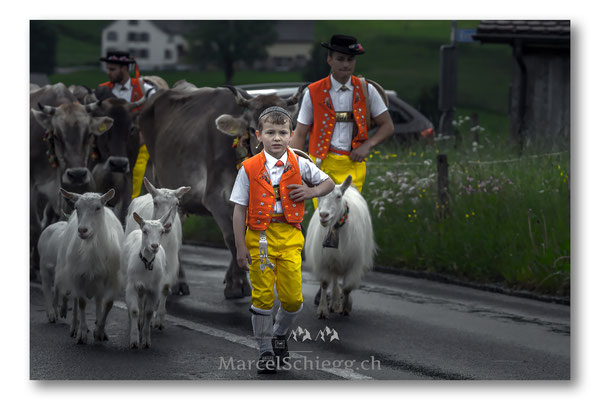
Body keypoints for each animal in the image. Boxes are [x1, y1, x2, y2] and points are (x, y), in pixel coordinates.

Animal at [54, 190, 123, 344]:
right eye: (76, 207)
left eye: (98, 208)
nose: (82, 230)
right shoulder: (78, 275)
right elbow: (81, 302)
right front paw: (82, 333)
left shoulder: (112, 278)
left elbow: (108, 303)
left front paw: (99, 331)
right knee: (75, 300)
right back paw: (74, 327)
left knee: (98, 299)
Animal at [120, 208, 175, 348]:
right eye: (145, 231)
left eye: (162, 231)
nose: (154, 246)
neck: (146, 263)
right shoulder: (132, 286)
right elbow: (134, 310)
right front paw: (134, 340)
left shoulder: (154, 289)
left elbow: (149, 312)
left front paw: (145, 341)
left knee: (142, 304)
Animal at [125, 177, 191, 328]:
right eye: (155, 202)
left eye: (177, 203)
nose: (166, 225)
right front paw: (141, 319)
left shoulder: (171, 262)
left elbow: (165, 287)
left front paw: (159, 320)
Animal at [304, 175, 376, 318]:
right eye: (319, 196)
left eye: (338, 196)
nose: (324, 215)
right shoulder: (324, 260)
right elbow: (325, 283)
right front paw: (323, 310)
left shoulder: (354, 262)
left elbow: (347, 288)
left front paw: (346, 307)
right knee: (335, 278)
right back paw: (335, 302)